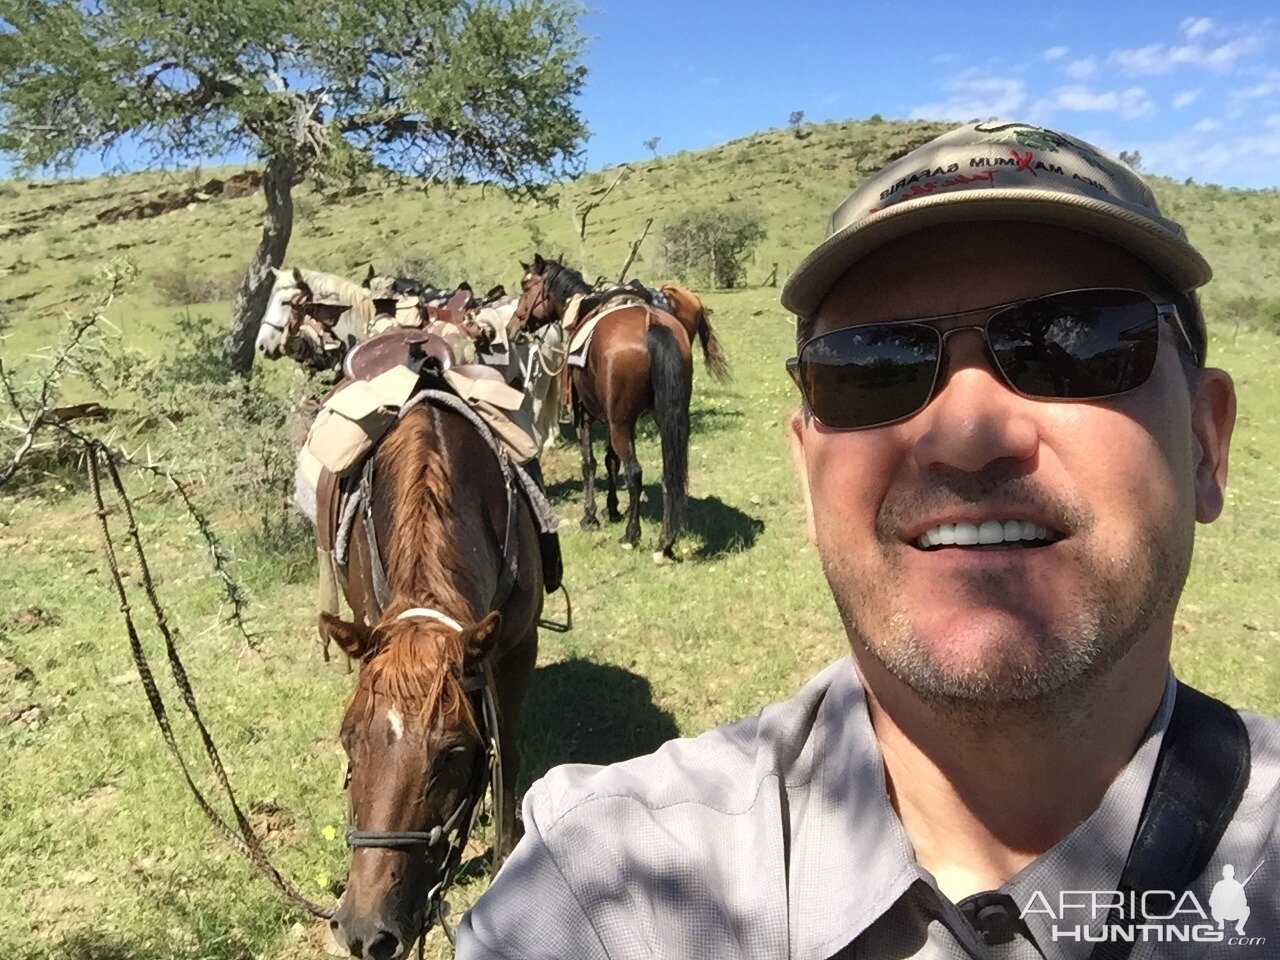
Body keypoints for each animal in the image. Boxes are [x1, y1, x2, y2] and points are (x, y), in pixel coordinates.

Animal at [322, 401, 542, 957]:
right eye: (349, 740)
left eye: (453, 753)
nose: (366, 932)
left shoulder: (517, 648)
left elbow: (507, 751)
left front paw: (505, 855)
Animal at [512, 256, 691, 563]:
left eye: (526, 286)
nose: (515, 326)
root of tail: (652, 323)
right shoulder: (612, 418)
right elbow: (611, 461)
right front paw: (613, 509)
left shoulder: (585, 414)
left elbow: (590, 463)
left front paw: (591, 516)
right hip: (664, 420)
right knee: (670, 472)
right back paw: (665, 542)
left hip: (622, 425)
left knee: (635, 472)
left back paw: (631, 536)